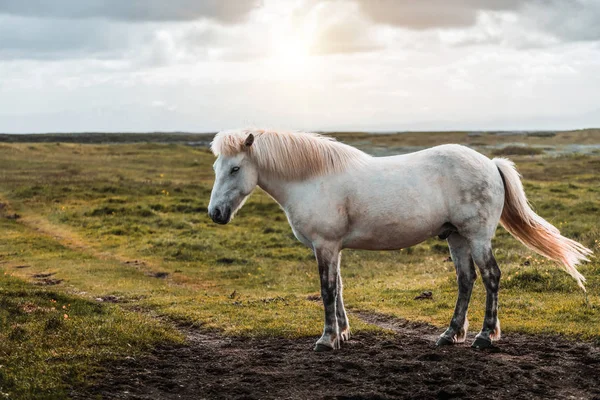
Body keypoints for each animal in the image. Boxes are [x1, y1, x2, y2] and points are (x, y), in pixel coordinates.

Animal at [207, 130, 592, 352]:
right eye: (216, 168)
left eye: (235, 169)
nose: (215, 213)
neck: (313, 178)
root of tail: (490, 163)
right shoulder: (333, 248)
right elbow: (340, 287)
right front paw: (343, 333)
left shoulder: (325, 245)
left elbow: (328, 290)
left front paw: (327, 340)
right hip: (457, 238)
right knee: (466, 280)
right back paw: (450, 334)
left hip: (477, 236)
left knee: (491, 277)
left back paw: (484, 337)